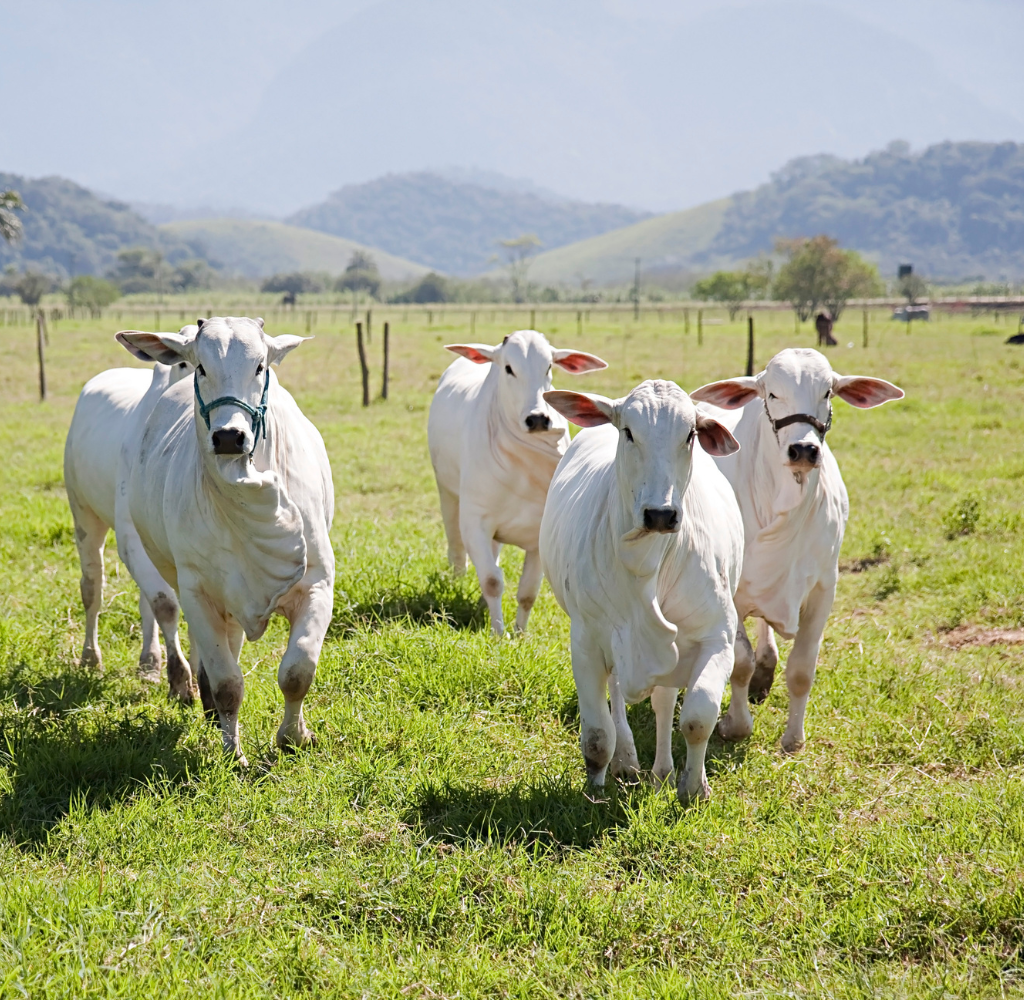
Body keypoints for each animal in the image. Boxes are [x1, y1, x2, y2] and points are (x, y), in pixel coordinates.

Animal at [63, 348, 195, 700]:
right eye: (183, 362)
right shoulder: (130, 537)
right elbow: (166, 604)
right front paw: (181, 680)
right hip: (84, 516)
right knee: (92, 587)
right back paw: (90, 657)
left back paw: (149, 662)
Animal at [116, 319, 333, 765]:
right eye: (201, 367)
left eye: (260, 366)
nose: (230, 436)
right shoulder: (198, 592)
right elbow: (228, 683)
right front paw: (234, 753)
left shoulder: (319, 583)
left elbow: (297, 671)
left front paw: (294, 736)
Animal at [425, 331, 602, 634]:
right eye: (509, 368)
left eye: (549, 367)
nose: (538, 419)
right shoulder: (475, 522)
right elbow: (492, 581)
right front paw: (498, 632)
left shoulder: (538, 535)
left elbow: (527, 591)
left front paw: (519, 633)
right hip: (447, 494)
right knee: (457, 550)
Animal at [536, 378, 745, 798]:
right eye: (629, 431)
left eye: (691, 434)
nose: (661, 514)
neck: (646, 564)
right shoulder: (587, 642)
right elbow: (597, 734)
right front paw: (594, 790)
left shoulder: (717, 636)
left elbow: (697, 717)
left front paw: (694, 787)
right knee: (618, 698)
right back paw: (626, 762)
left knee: (663, 703)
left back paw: (662, 771)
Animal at [688, 348, 905, 745]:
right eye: (773, 394)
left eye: (828, 392)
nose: (803, 448)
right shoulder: (732, 592)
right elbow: (739, 663)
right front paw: (735, 725)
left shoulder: (823, 588)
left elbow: (802, 669)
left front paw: (793, 739)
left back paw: (767, 665)